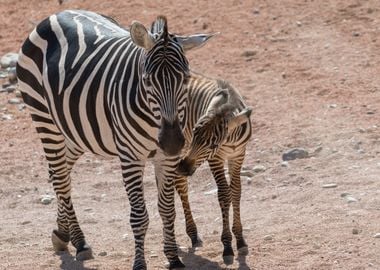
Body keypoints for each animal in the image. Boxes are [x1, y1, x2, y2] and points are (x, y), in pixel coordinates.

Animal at [16, 9, 215, 268]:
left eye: (186, 78)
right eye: (147, 80)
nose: (172, 142)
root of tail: (58, 13)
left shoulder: (167, 158)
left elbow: (167, 209)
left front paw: (173, 258)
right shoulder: (131, 156)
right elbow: (139, 216)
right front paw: (140, 264)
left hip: (77, 132)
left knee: (61, 172)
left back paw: (62, 233)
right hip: (44, 119)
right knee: (60, 178)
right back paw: (80, 241)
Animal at [175, 73, 252, 264]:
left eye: (213, 144)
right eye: (194, 132)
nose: (183, 167)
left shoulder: (238, 155)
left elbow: (236, 191)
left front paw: (240, 240)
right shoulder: (215, 159)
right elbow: (224, 194)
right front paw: (227, 247)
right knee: (179, 184)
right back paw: (192, 233)